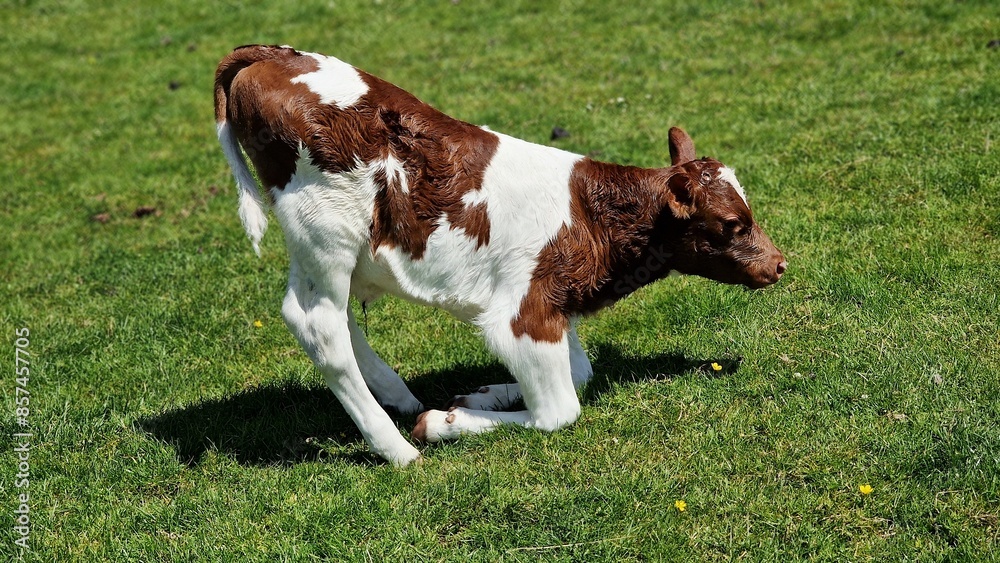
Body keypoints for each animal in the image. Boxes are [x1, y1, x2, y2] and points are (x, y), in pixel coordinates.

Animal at [215, 44, 784, 468]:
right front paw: (446, 423)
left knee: (325, 318)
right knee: (320, 326)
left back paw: (398, 395)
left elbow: (581, 371)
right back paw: (397, 447)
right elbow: (560, 411)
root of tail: (270, 56)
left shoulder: (556, 305)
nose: (779, 264)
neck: (591, 216)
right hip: (324, 232)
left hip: (331, 248)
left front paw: (483, 393)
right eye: (731, 224)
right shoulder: (522, 313)